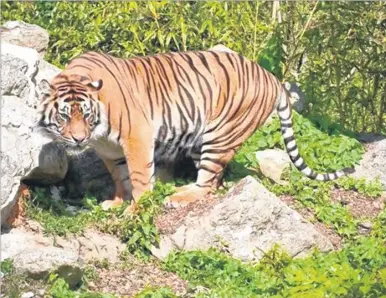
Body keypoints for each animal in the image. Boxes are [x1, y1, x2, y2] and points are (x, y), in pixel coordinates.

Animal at [37, 49, 354, 212]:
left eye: (85, 115)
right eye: (64, 116)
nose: (78, 138)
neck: (98, 132)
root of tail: (272, 77)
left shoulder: (137, 137)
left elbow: (139, 179)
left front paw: (136, 208)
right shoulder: (109, 150)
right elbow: (120, 176)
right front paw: (116, 201)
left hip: (221, 135)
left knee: (208, 183)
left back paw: (177, 196)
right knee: (214, 181)